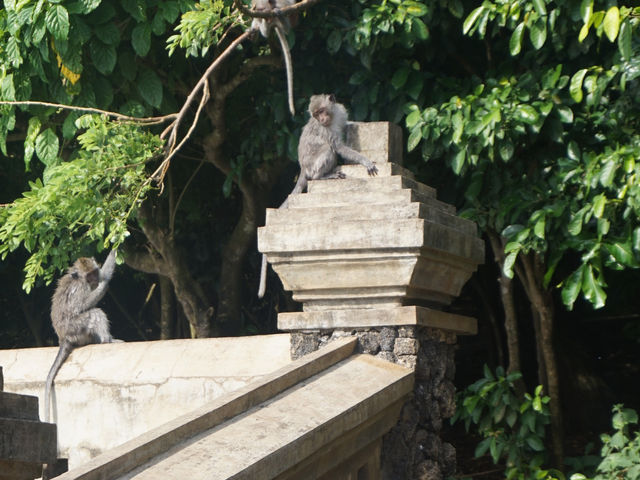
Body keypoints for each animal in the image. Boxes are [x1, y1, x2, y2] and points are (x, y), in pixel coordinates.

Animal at [45, 249, 120, 422]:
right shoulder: (81, 288)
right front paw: (104, 283)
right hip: (76, 330)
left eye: (95, 272)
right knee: (94, 313)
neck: (78, 278)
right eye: (89, 276)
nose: (95, 279)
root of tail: (63, 338)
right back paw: (107, 341)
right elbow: (83, 306)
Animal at [258, 93, 380, 296]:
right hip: (313, 165)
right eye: (316, 115)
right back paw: (323, 176)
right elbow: (338, 147)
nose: (321, 119)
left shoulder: (339, 112)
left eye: (322, 111)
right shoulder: (325, 131)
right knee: (327, 150)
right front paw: (365, 161)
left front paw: (356, 122)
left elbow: (345, 123)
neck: (331, 119)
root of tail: (302, 168)